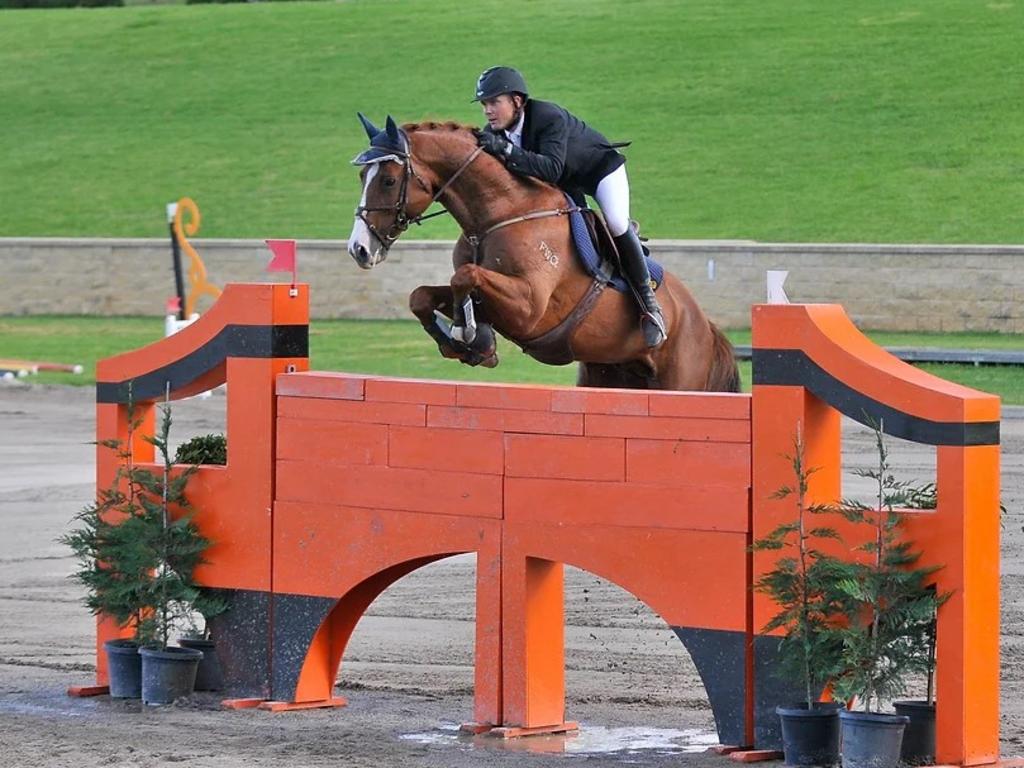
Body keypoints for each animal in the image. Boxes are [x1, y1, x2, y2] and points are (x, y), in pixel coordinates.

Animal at [348, 117, 741, 393]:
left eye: (387, 180)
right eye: (362, 177)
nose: (359, 249)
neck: (497, 214)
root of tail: (705, 325)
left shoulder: (529, 308)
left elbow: (466, 277)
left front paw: (468, 332)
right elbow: (422, 296)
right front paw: (467, 343)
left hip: (680, 379)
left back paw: (653, 319)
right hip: (610, 374)